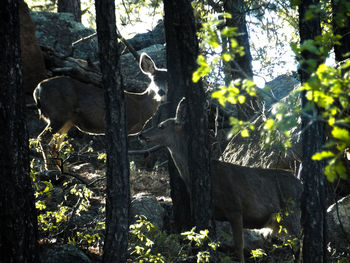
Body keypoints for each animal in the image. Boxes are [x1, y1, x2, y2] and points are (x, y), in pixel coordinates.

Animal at [33, 53, 167, 171]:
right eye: (154, 79)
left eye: (168, 79)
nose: (161, 92)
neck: (140, 107)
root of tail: (38, 88)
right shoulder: (125, 124)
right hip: (57, 114)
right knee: (43, 138)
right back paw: (50, 168)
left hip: (67, 120)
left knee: (54, 144)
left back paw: (62, 168)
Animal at [139, 98, 304, 262]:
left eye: (161, 126)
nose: (141, 134)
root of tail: (300, 184)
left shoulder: (235, 207)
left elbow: (239, 246)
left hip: (292, 212)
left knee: (299, 243)